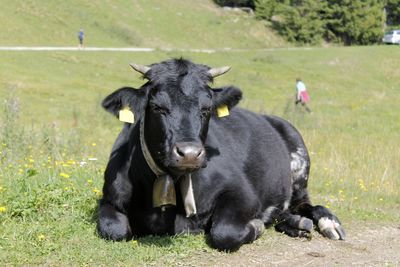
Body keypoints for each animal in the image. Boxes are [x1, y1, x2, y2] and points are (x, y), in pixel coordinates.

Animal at [97, 58, 344, 251]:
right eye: (158, 107)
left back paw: (327, 223)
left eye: (206, 109)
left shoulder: (243, 192)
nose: (189, 154)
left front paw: (256, 226)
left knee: (305, 203)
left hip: (299, 167)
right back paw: (296, 224)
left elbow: (225, 233)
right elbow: (114, 229)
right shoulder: (109, 197)